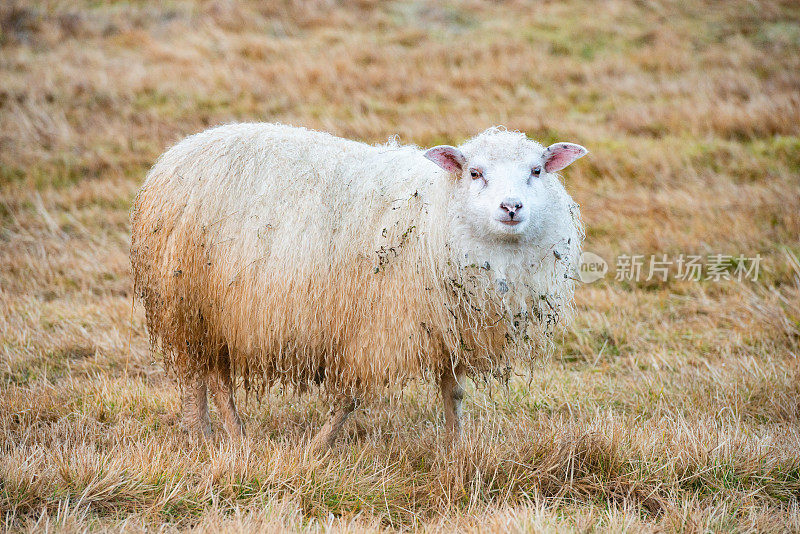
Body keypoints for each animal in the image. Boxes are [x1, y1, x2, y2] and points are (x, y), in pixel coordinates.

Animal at [128, 123, 584, 450]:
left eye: (536, 171)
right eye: (475, 173)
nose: (512, 207)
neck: (436, 211)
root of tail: (176, 153)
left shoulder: (447, 328)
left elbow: (453, 392)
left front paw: (458, 448)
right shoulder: (376, 328)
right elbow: (350, 396)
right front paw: (316, 449)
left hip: (220, 311)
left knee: (219, 377)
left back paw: (236, 438)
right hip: (183, 304)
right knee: (194, 378)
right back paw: (202, 439)